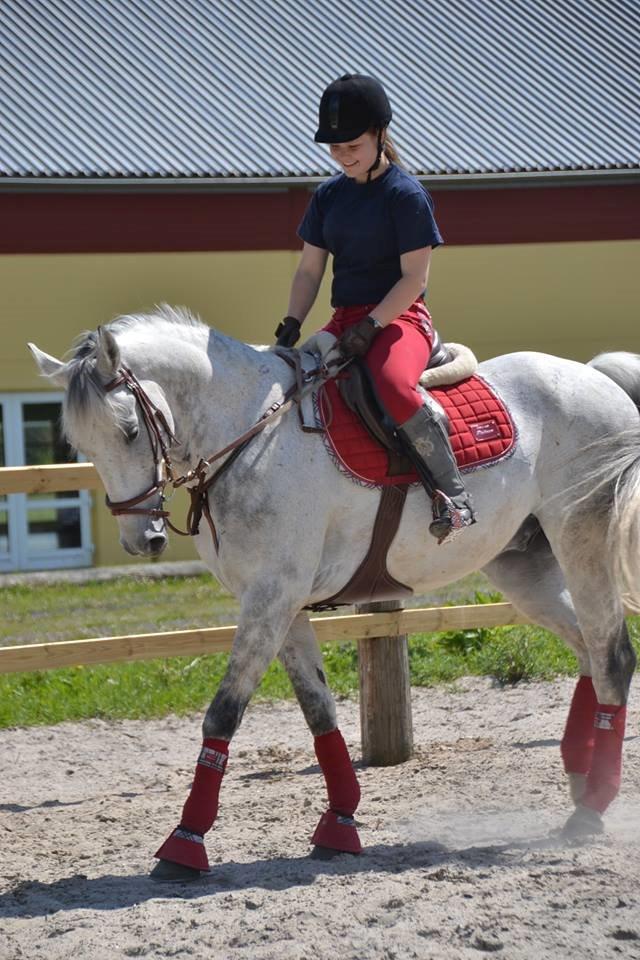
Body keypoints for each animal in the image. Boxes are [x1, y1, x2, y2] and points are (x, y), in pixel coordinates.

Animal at [30, 312, 640, 880]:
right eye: (80, 445)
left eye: (131, 430)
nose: (142, 539)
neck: (250, 432)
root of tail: (594, 376)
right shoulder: (280, 604)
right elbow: (319, 711)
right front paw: (340, 824)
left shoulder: (272, 598)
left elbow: (222, 714)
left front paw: (185, 842)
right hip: (524, 567)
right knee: (588, 649)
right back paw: (581, 777)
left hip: (581, 539)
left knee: (612, 656)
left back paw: (591, 807)